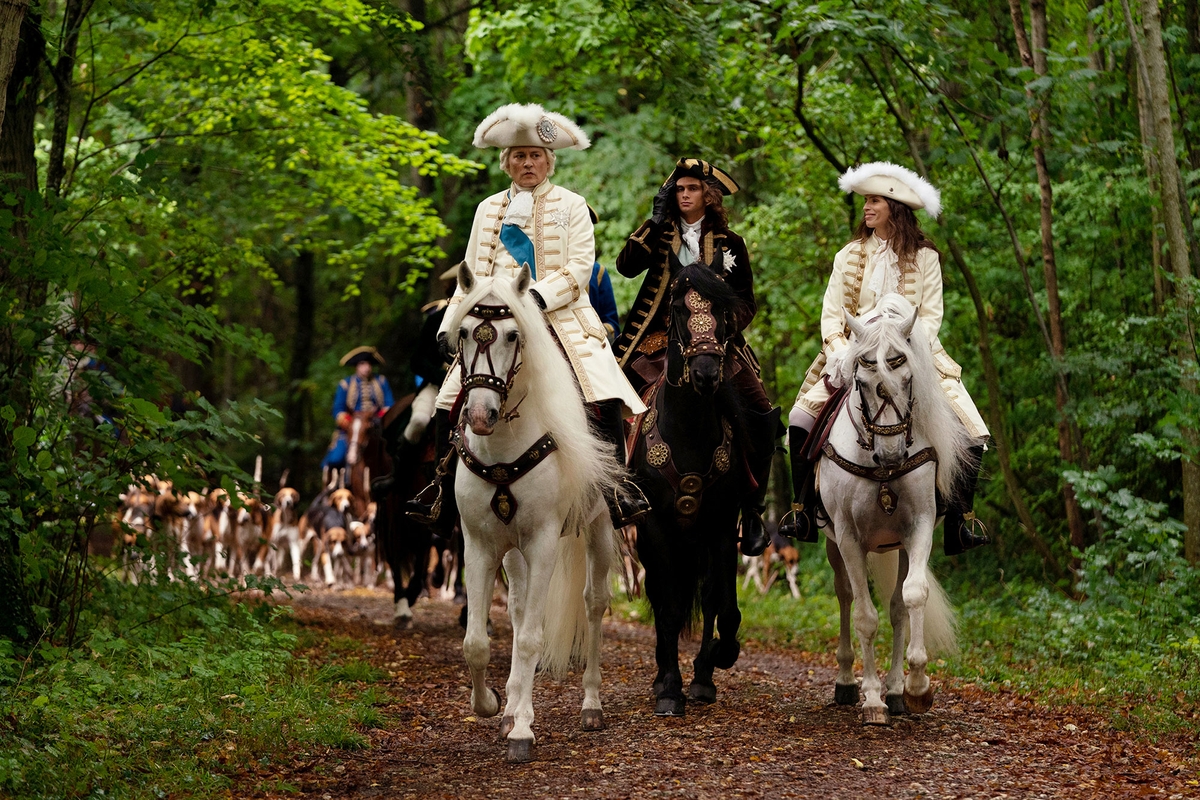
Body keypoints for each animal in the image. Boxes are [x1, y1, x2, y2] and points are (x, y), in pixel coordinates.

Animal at [444, 262, 624, 762]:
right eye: (463, 332)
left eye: (512, 335)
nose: (480, 415)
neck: (504, 449)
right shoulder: (482, 546)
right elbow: (477, 642)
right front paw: (492, 706)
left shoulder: (543, 542)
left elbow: (530, 637)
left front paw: (523, 730)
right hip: (514, 553)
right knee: (522, 607)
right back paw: (510, 707)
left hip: (598, 531)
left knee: (593, 604)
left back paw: (590, 704)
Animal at [628, 257, 748, 719]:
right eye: (679, 309)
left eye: (721, 309)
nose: (706, 373)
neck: (690, 430)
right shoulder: (657, 527)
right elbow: (671, 606)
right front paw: (670, 690)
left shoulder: (721, 525)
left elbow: (724, 606)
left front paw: (714, 661)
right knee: (663, 597)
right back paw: (664, 675)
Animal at [816, 293, 974, 724]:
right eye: (862, 382)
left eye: (908, 379)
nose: (891, 454)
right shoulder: (849, 538)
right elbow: (864, 617)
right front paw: (871, 699)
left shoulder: (917, 528)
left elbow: (912, 597)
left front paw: (916, 687)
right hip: (833, 545)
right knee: (845, 597)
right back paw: (847, 683)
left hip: (898, 547)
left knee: (898, 607)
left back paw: (897, 690)